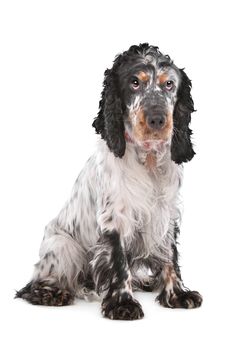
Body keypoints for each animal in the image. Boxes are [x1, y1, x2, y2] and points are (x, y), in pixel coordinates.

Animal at [16, 43, 202, 320]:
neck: (147, 159)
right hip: (61, 245)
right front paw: (123, 303)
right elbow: (119, 261)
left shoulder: (166, 213)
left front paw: (177, 294)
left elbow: (170, 256)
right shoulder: (115, 216)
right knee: (34, 285)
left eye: (169, 84)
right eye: (134, 83)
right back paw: (52, 293)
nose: (157, 119)